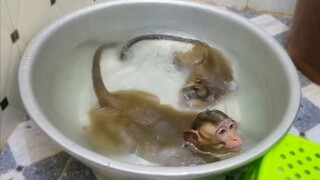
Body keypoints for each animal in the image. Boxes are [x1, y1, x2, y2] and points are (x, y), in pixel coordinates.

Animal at [87, 43, 242, 166]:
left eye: (231, 126)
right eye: (222, 132)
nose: (235, 137)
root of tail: (112, 100)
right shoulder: (183, 158)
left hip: (137, 95)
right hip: (113, 127)